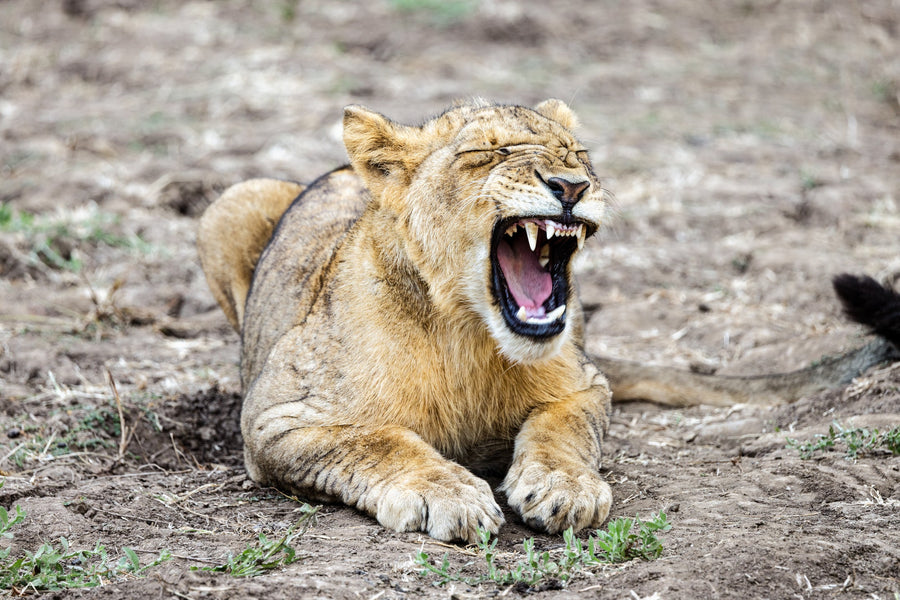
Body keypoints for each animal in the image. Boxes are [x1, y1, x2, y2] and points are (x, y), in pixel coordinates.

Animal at [198, 99, 899, 542]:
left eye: (578, 153)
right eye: (490, 153)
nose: (572, 186)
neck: (467, 336)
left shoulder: (583, 384)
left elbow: (561, 428)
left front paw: (565, 489)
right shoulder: (277, 414)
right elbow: (379, 441)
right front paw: (444, 493)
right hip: (229, 204)